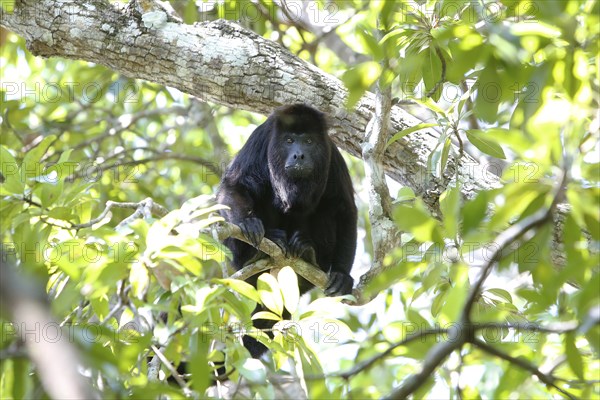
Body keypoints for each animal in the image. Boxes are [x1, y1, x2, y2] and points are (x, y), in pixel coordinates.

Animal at [217, 103, 354, 356]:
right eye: (289, 140)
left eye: (308, 141)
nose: (299, 155)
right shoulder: (259, 140)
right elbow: (234, 185)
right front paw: (247, 222)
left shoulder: (333, 157)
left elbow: (344, 209)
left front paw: (342, 275)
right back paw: (257, 251)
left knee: (328, 209)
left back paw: (308, 253)